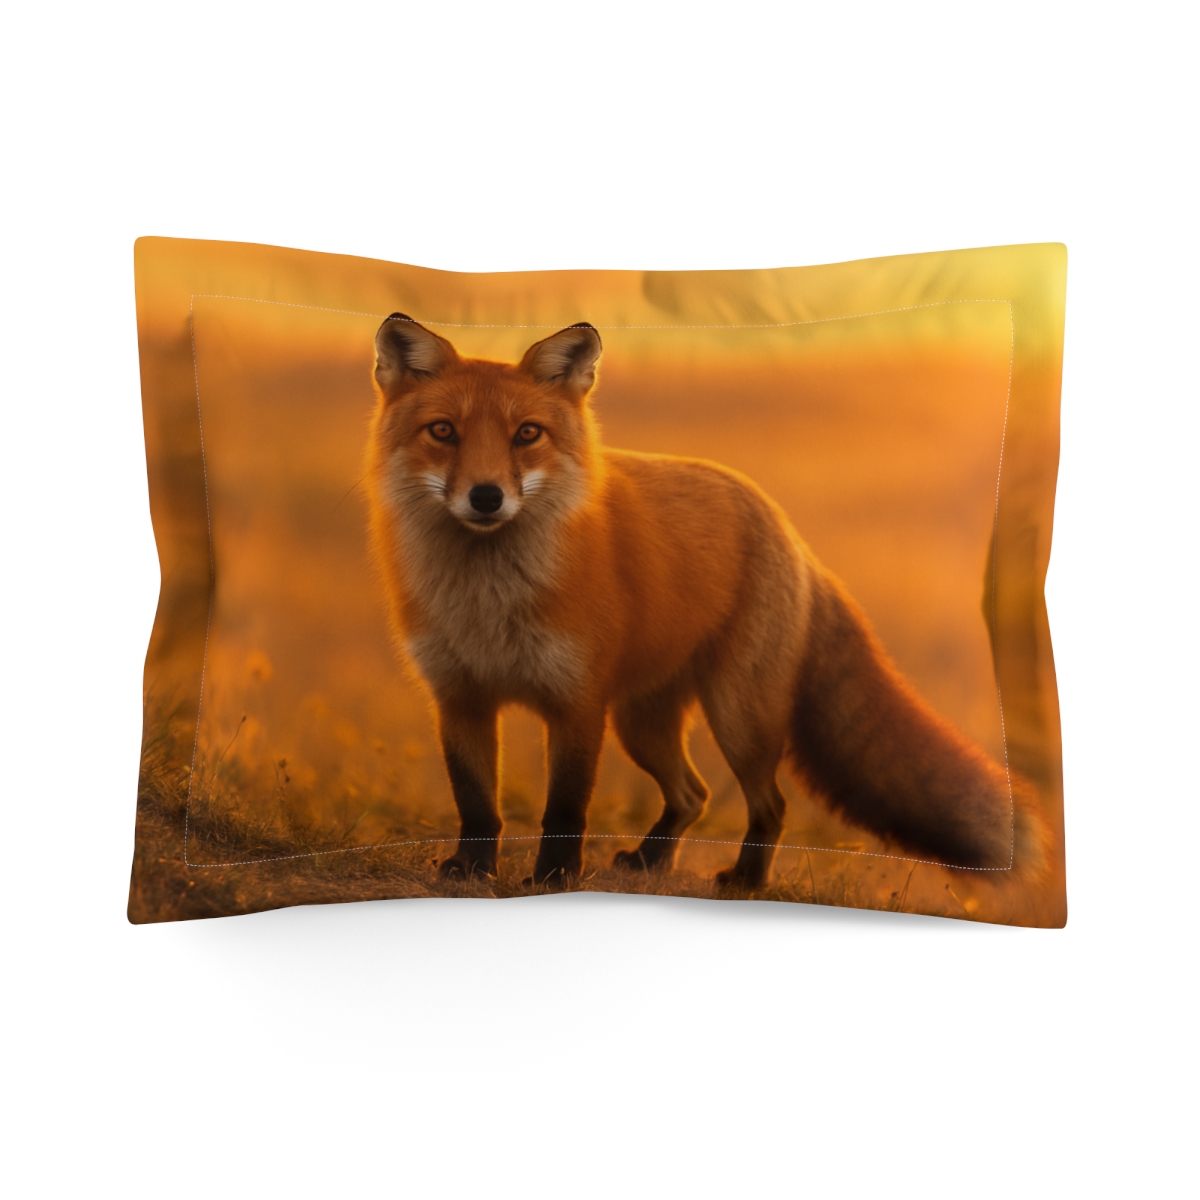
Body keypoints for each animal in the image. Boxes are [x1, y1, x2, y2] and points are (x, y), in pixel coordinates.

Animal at [365, 313, 1046, 889]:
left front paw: (554, 879)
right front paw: (471, 871)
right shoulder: (460, 699)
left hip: (737, 718)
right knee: (694, 794)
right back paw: (650, 861)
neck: (488, 603)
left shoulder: (577, 704)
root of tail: (787, 530)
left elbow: (565, 809)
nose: (486, 497)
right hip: (642, 724)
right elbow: (477, 804)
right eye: (444, 432)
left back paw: (745, 879)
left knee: (769, 803)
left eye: (527, 434)